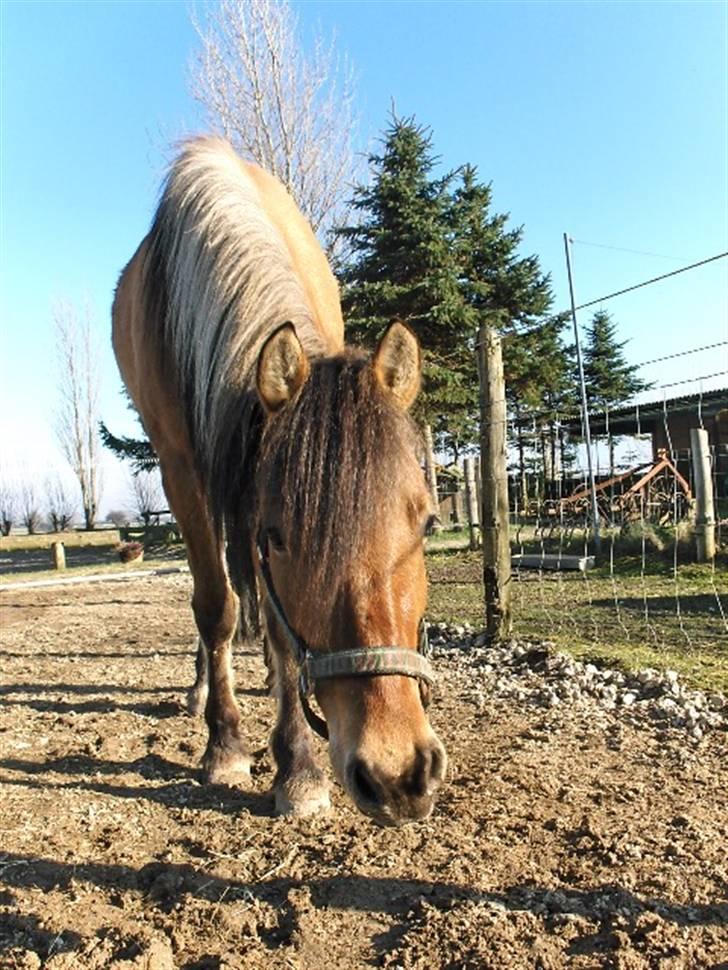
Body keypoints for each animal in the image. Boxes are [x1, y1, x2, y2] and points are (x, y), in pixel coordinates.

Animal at [111, 136, 446, 824]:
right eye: (278, 537)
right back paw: (205, 696)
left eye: (428, 524)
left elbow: (276, 626)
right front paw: (233, 747)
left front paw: (294, 763)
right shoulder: (185, 468)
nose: (398, 775)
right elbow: (218, 607)